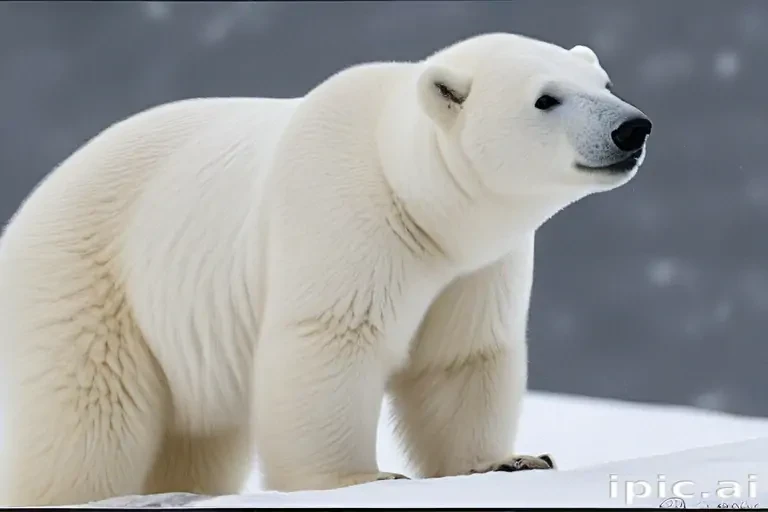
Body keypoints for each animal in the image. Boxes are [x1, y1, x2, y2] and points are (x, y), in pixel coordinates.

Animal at [0, 32, 651, 506]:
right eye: (546, 98)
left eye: (605, 82)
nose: (632, 127)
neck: (414, 193)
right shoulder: (344, 215)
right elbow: (333, 339)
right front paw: (359, 479)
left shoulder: (477, 265)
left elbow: (460, 357)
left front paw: (510, 460)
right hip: (87, 282)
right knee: (89, 414)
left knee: (198, 438)